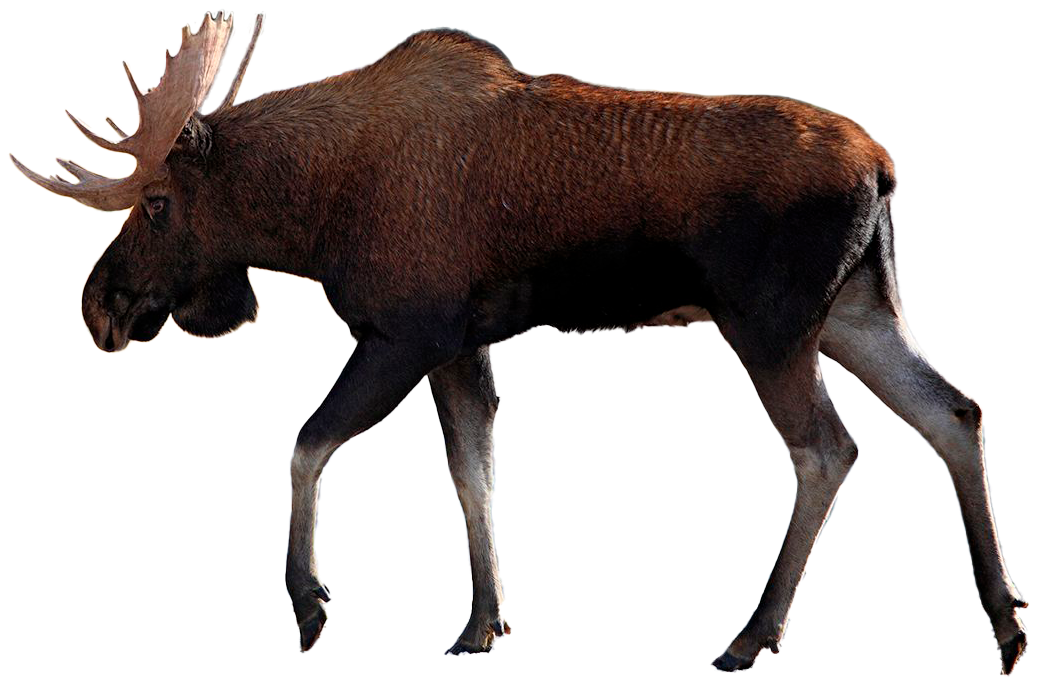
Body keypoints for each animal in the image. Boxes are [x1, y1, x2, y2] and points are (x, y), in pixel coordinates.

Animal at [10, 12, 1028, 675]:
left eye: (155, 203)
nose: (99, 307)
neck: (311, 215)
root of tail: (883, 167)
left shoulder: (402, 330)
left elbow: (307, 444)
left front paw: (309, 603)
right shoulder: (460, 342)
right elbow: (473, 467)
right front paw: (482, 620)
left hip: (769, 323)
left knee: (827, 448)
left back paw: (751, 635)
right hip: (855, 310)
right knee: (953, 411)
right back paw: (1005, 620)